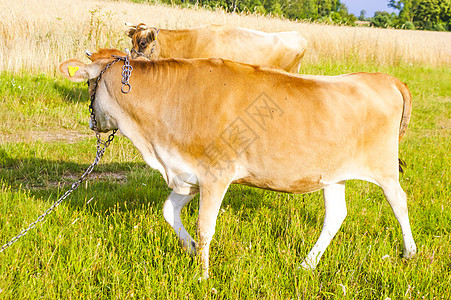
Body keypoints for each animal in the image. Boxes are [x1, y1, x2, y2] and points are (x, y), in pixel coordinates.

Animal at [59, 48, 416, 278]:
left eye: (89, 84)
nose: (93, 124)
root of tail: (383, 78)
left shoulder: (215, 173)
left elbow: (205, 227)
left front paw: (202, 278)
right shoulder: (186, 174)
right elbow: (168, 212)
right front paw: (190, 249)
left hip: (384, 167)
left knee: (399, 201)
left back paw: (409, 253)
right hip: (332, 174)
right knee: (336, 215)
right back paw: (306, 265)